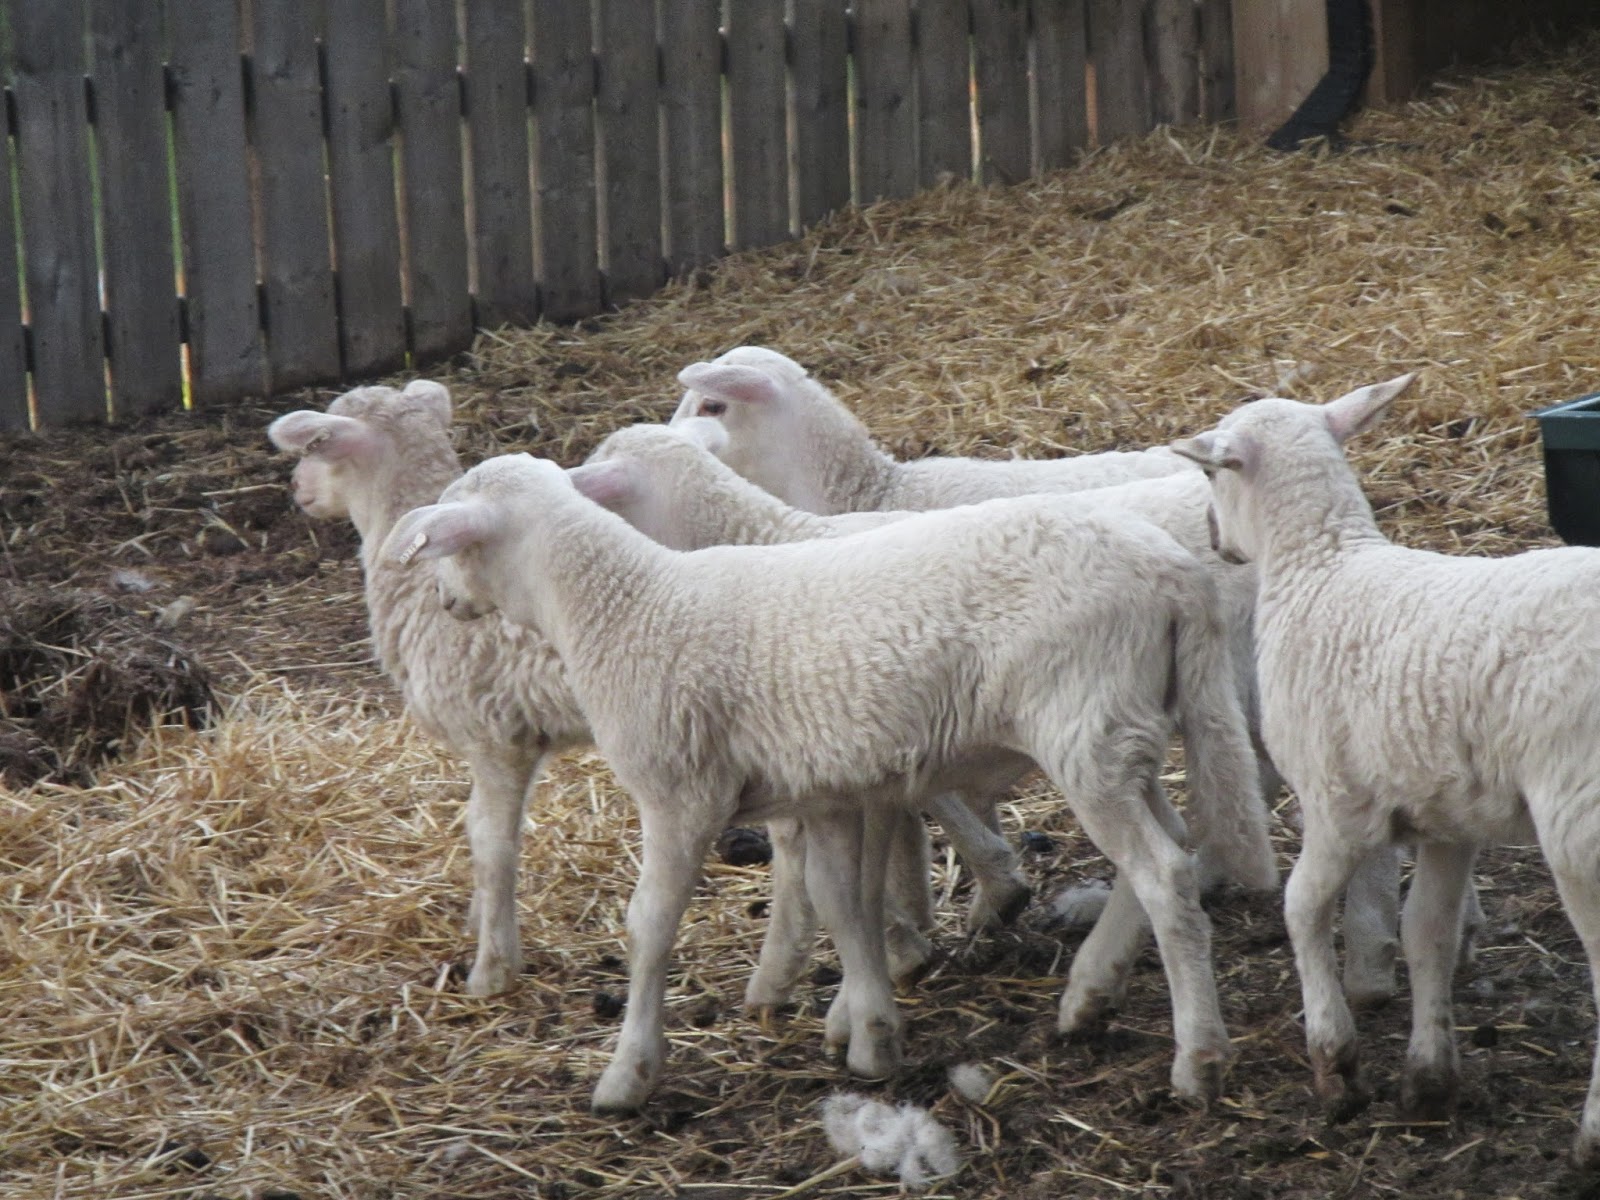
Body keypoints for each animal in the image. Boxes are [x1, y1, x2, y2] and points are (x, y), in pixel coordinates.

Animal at [384, 450, 1276, 1113]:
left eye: (452, 542)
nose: (445, 600)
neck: (624, 607)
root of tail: (1176, 575)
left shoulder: (680, 790)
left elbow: (651, 926)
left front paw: (628, 1073)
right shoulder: (829, 792)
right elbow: (846, 902)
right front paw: (873, 1037)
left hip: (1084, 725)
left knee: (1161, 873)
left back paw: (1199, 1060)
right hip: (1125, 727)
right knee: (1171, 850)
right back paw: (1090, 993)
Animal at [667, 346, 1485, 1008]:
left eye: (712, 405)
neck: (865, 493)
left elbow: (935, 805)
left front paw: (972, 904)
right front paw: (938, 917)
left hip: (1255, 681)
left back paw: (1366, 962)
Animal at [1170, 375, 1600, 1169]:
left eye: (1213, 474)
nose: (1217, 540)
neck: (1320, 565)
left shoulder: (1336, 806)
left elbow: (1302, 908)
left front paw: (1334, 1064)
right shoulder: (1448, 817)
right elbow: (1425, 932)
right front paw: (1428, 1081)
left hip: (1578, 820)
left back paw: (1590, 1136)